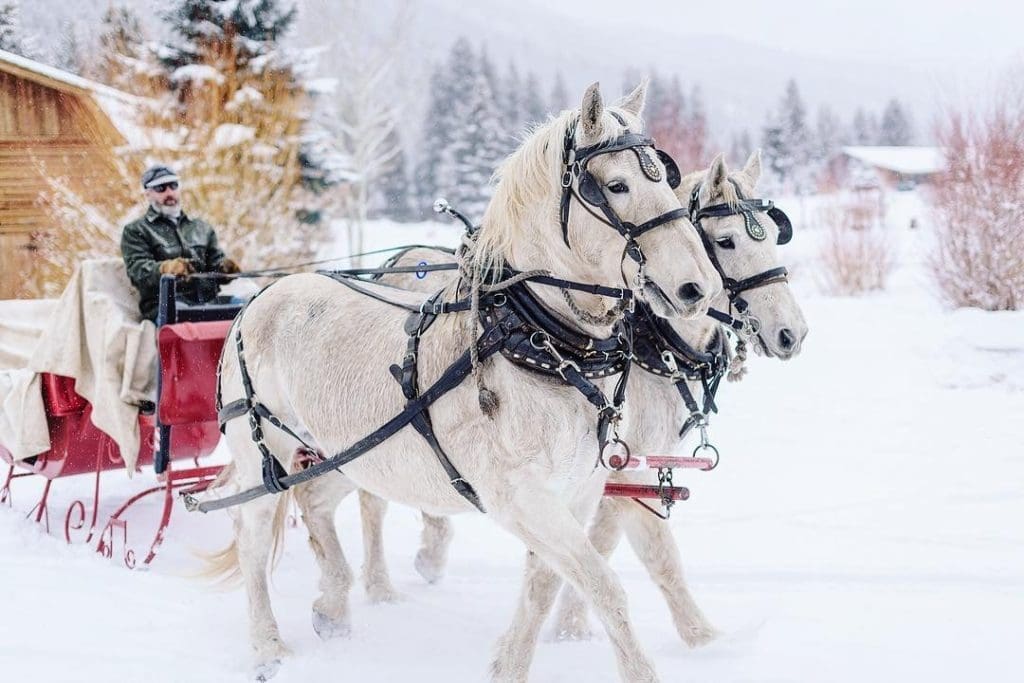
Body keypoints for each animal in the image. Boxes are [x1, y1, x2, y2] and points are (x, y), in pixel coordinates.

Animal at [204, 81, 720, 682]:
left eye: (666, 179)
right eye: (617, 185)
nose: (697, 287)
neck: (541, 343)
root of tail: (260, 298)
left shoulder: (577, 492)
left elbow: (542, 586)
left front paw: (507, 665)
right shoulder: (519, 497)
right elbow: (602, 585)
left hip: (353, 454)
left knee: (316, 503)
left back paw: (332, 606)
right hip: (266, 452)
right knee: (252, 536)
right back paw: (268, 647)